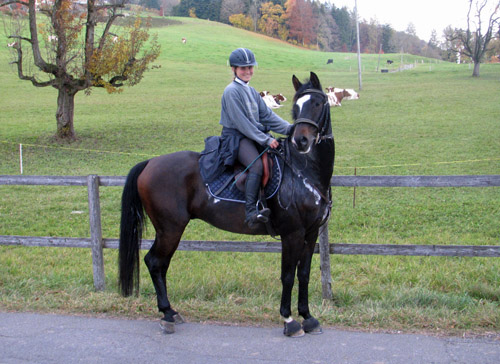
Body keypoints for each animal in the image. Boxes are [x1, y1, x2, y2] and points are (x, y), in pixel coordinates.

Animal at [118, 72, 334, 338]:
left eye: (318, 103)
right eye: (297, 105)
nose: (301, 141)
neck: (304, 172)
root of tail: (150, 163)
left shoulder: (311, 233)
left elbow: (303, 274)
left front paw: (308, 317)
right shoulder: (291, 234)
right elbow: (287, 276)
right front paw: (289, 320)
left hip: (168, 231)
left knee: (161, 264)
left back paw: (171, 311)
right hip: (170, 229)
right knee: (155, 262)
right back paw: (167, 313)